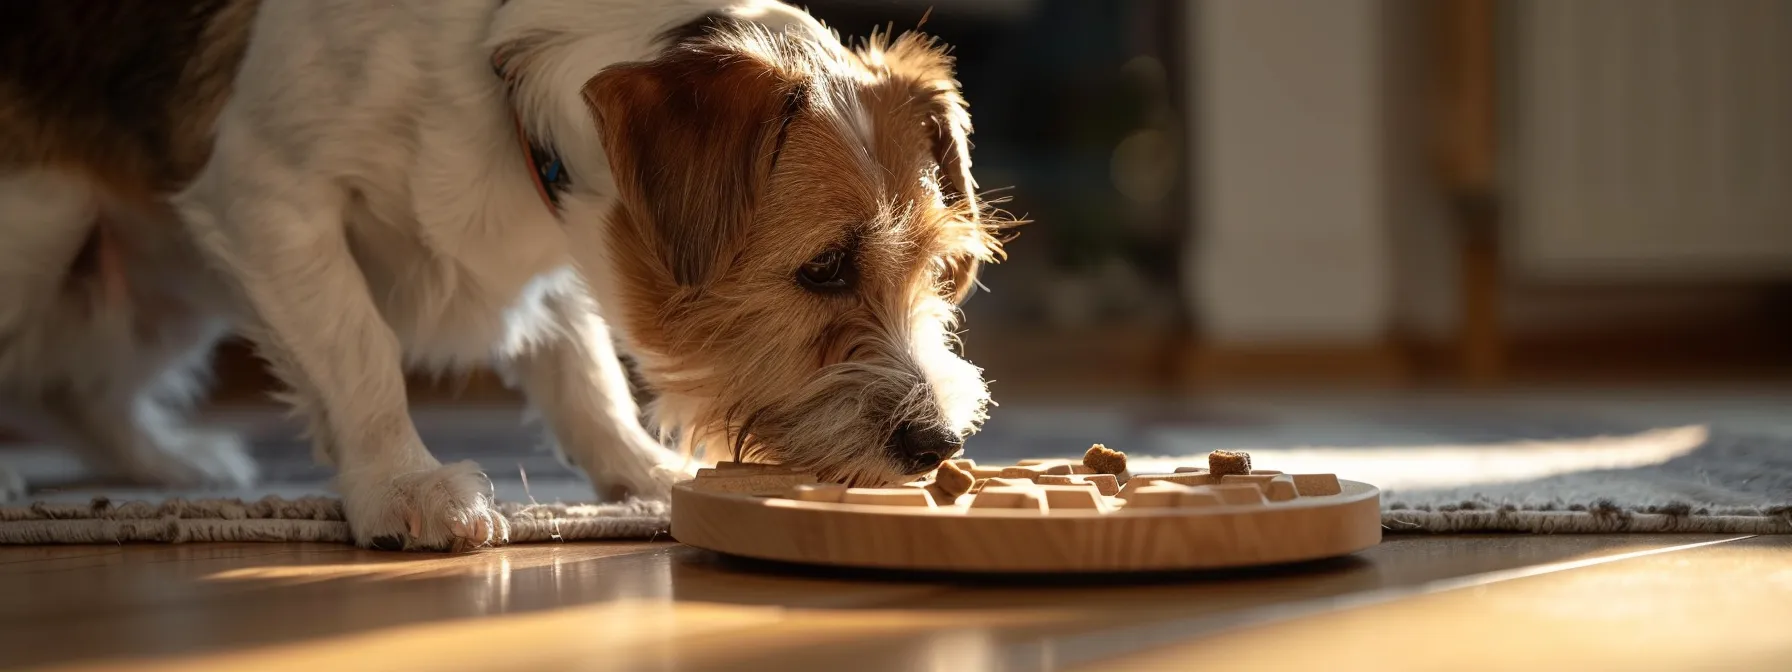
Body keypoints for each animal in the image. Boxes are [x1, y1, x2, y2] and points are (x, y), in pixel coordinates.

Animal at [0, 1, 1010, 551]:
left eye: (941, 272)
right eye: (825, 266)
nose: (939, 446)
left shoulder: (565, 258)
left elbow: (584, 372)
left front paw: (643, 472)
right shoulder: (270, 195)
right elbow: (359, 348)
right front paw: (404, 485)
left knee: (74, 384)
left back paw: (169, 458)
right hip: (44, 223)